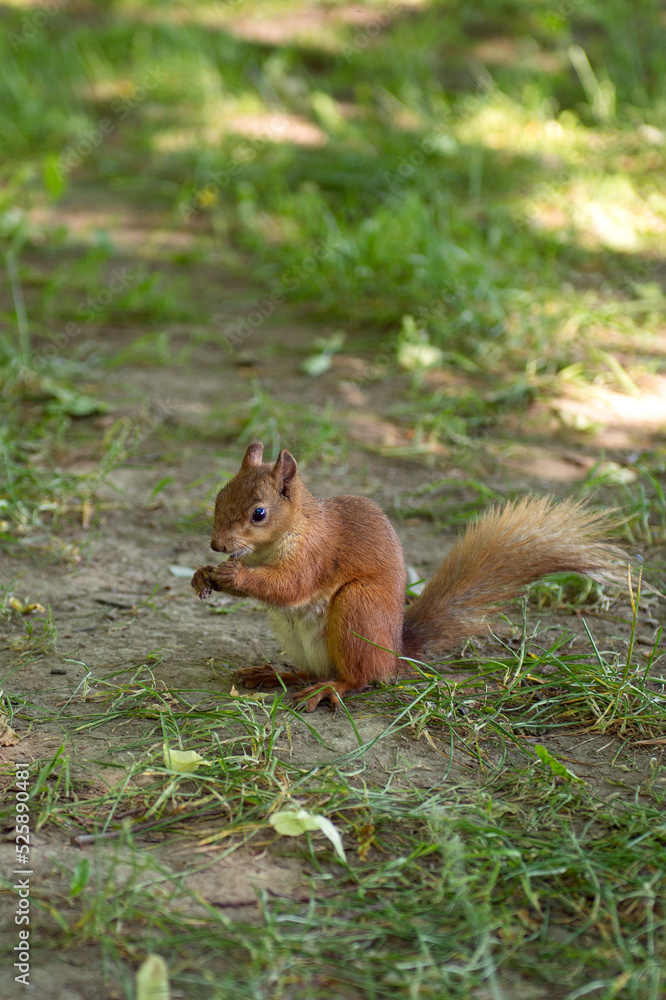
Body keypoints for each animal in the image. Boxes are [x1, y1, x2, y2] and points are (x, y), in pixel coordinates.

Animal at [189, 440, 620, 712]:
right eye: (220, 496)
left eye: (259, 513)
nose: (216, 545)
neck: (277, 540)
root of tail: (394, 655)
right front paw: (202, 575)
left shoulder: (315, 555)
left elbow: (289, 585)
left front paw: (234, 576)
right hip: (295, 636)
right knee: (311, 670)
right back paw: (272, 674)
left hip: (357, 609)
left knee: (358, 678)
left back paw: (327, 690)